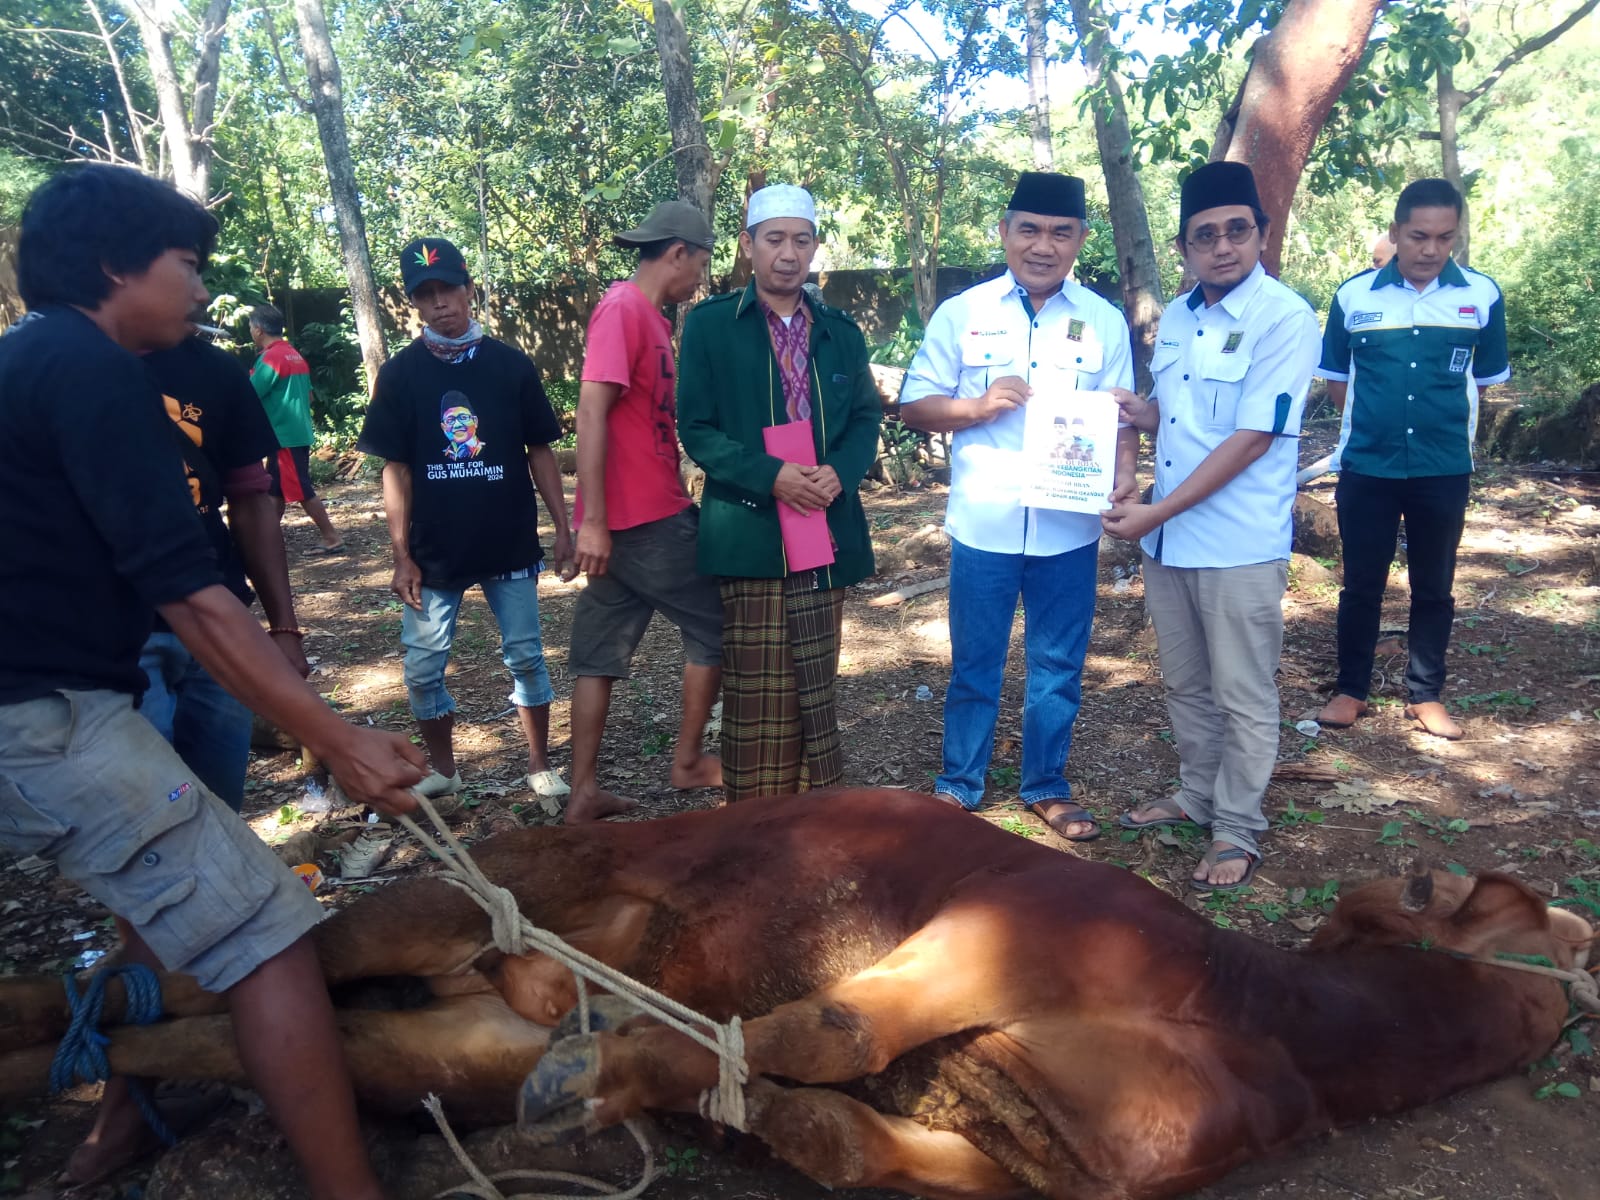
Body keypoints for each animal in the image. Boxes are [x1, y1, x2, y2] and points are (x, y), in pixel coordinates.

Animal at [0, 790, 1593, 1200]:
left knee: (210, 1026)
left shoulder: (1009, 1156)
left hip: (442, 1045)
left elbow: (826, 1128)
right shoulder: (994, 933)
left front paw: (647, 1087)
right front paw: (613, 1076)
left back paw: (79, 1064)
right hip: (459, 889)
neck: (1270, 1027)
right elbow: (824, 1032)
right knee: (266, 960)